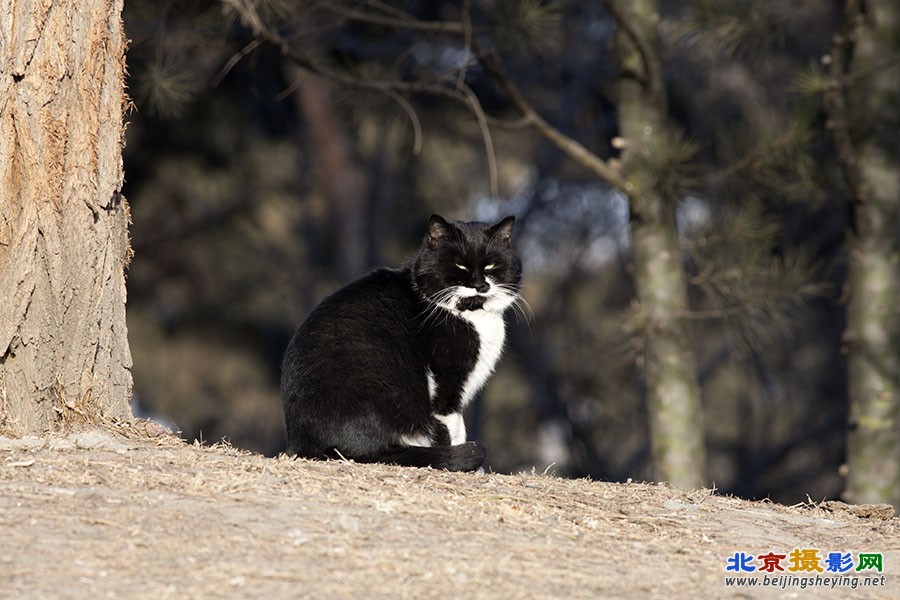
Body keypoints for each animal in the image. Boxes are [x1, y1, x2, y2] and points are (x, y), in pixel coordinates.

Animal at [280, 216, 520, 474]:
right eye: (460, 266)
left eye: (491, 266)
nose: (480, 285)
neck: (471, 316)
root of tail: (301, 441)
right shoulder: (446, 386)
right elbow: (453, 428)